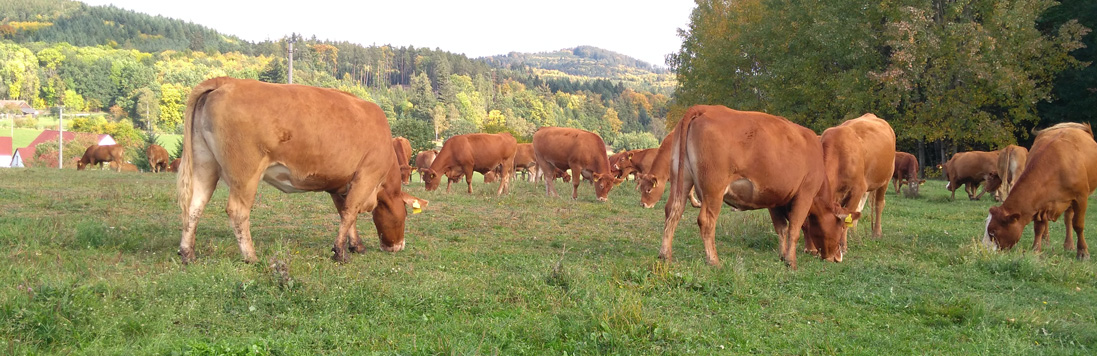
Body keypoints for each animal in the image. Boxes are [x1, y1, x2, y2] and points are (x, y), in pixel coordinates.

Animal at [177, 76, 425, 262]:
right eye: (405, 214)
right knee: (237, 211)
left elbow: (346, 214)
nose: (398, 246)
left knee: (194, 206)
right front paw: (340, 252)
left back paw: (187, 253)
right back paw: (251, 256)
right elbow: (350, 212)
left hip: (205, 164)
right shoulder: (366, 175)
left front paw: (355, 245)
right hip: (245, 174)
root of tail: (226, 80)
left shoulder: (339, 184)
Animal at [653, 105, 851, 269]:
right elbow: (794, 229)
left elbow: (781, 229)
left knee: (673, 211)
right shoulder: (805, 194)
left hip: (681, 179)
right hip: (713, 189)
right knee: (706, 221)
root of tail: (704, 108)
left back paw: (665, 254)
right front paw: (791, 261)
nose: (838, 257)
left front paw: (782, 256)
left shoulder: (775, 199)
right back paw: (714, 260)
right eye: (841, 226)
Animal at [820, 113, 895, 251]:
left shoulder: (857, 189)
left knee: (879, 205)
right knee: (859, 210)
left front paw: (842, 245)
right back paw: (854, 236)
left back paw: (877, 233)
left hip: (886, 179)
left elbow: (846, 217)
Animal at [987, 122, 1097, 257]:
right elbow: (1038, 227)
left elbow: (1078, 225)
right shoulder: (1039, 202)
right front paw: (1036, 249)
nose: (986, 250)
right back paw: (1047, 242)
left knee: (1068, 219)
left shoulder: (1080, 198)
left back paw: (1069, 245)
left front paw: (1082, 252)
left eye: (993, 232)